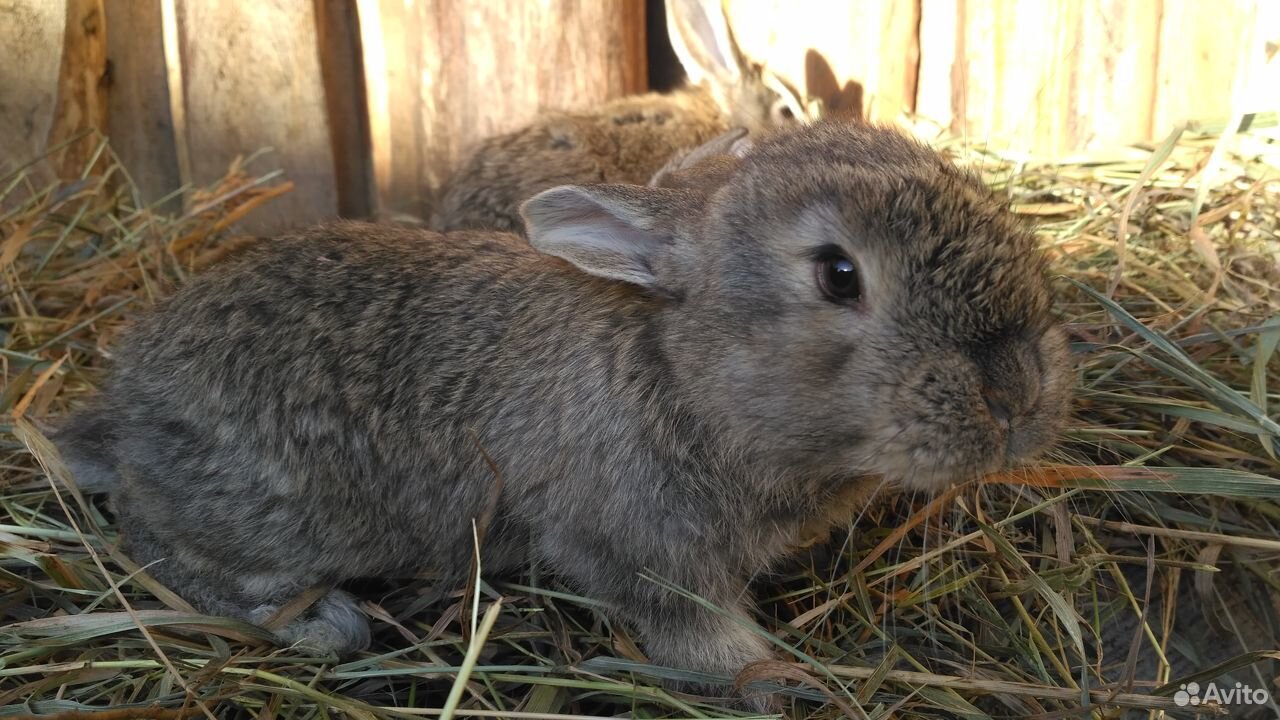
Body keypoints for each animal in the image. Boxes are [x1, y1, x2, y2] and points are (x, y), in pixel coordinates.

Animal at [57, 122, 1070, 707]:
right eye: (838, 274)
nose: (1018, 393)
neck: (686, 374)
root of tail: (126, 408)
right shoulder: (631, 548)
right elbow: (696, 635)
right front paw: (781, 680)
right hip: (271, 516)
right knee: (157, 543)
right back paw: (322, 622)